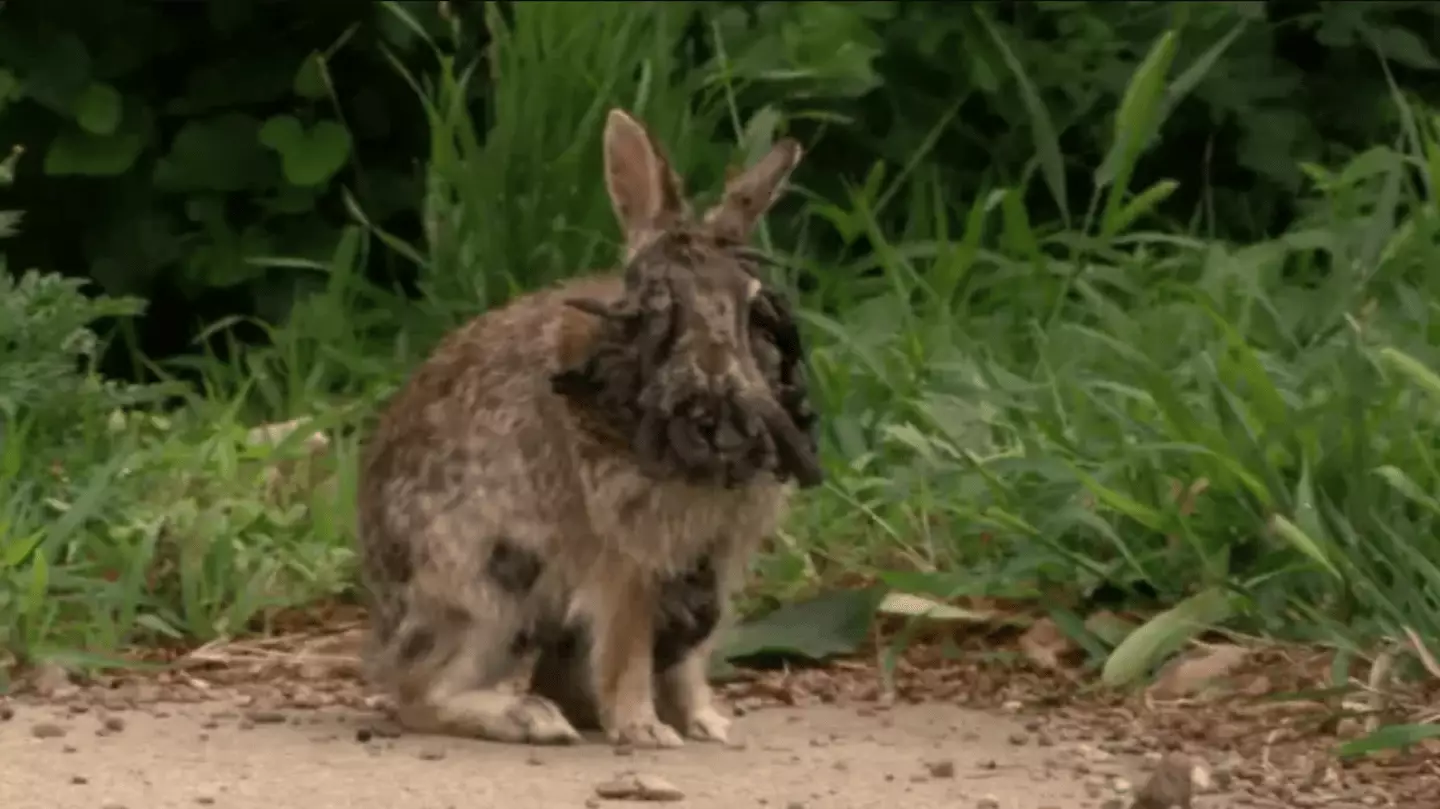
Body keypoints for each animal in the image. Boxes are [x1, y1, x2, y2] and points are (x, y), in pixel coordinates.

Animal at [355, 107, 821, 750]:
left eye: (753, 303)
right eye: (657, 305)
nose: (716, 377)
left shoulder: (714, 560)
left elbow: (688, 660)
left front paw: (707, 723)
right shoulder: (626, 557)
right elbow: (628, 646)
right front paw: (645, 730)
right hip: (489, 591)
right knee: (418, 693)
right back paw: (531, 718)